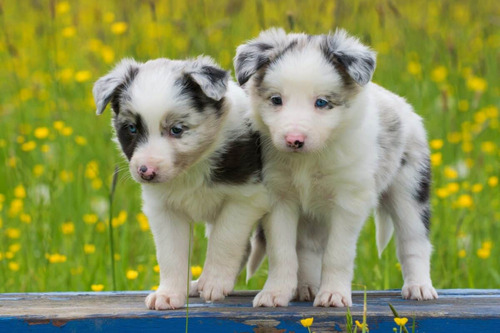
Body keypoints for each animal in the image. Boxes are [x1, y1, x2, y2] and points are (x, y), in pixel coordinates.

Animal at [91, 56, 268, 308]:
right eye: (132, 128)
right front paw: (168, 294)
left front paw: (214, 282)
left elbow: (225, 239)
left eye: (176, 129)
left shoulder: (246, 198)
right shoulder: (164, 209)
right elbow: (170, 254)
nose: (146, 172)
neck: (192, 168)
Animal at [234, 27, 438, 306]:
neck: (307, 161)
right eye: (276, 100)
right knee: (308, 248)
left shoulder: (348, 200)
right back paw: (307, 287)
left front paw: (333, 295)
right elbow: (282, 252)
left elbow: (337, 254)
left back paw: (419, 287)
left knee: (414, 241)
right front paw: (275, 293)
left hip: (409, 188)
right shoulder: (279, 197)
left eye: (321, 102)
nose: (294, 140)